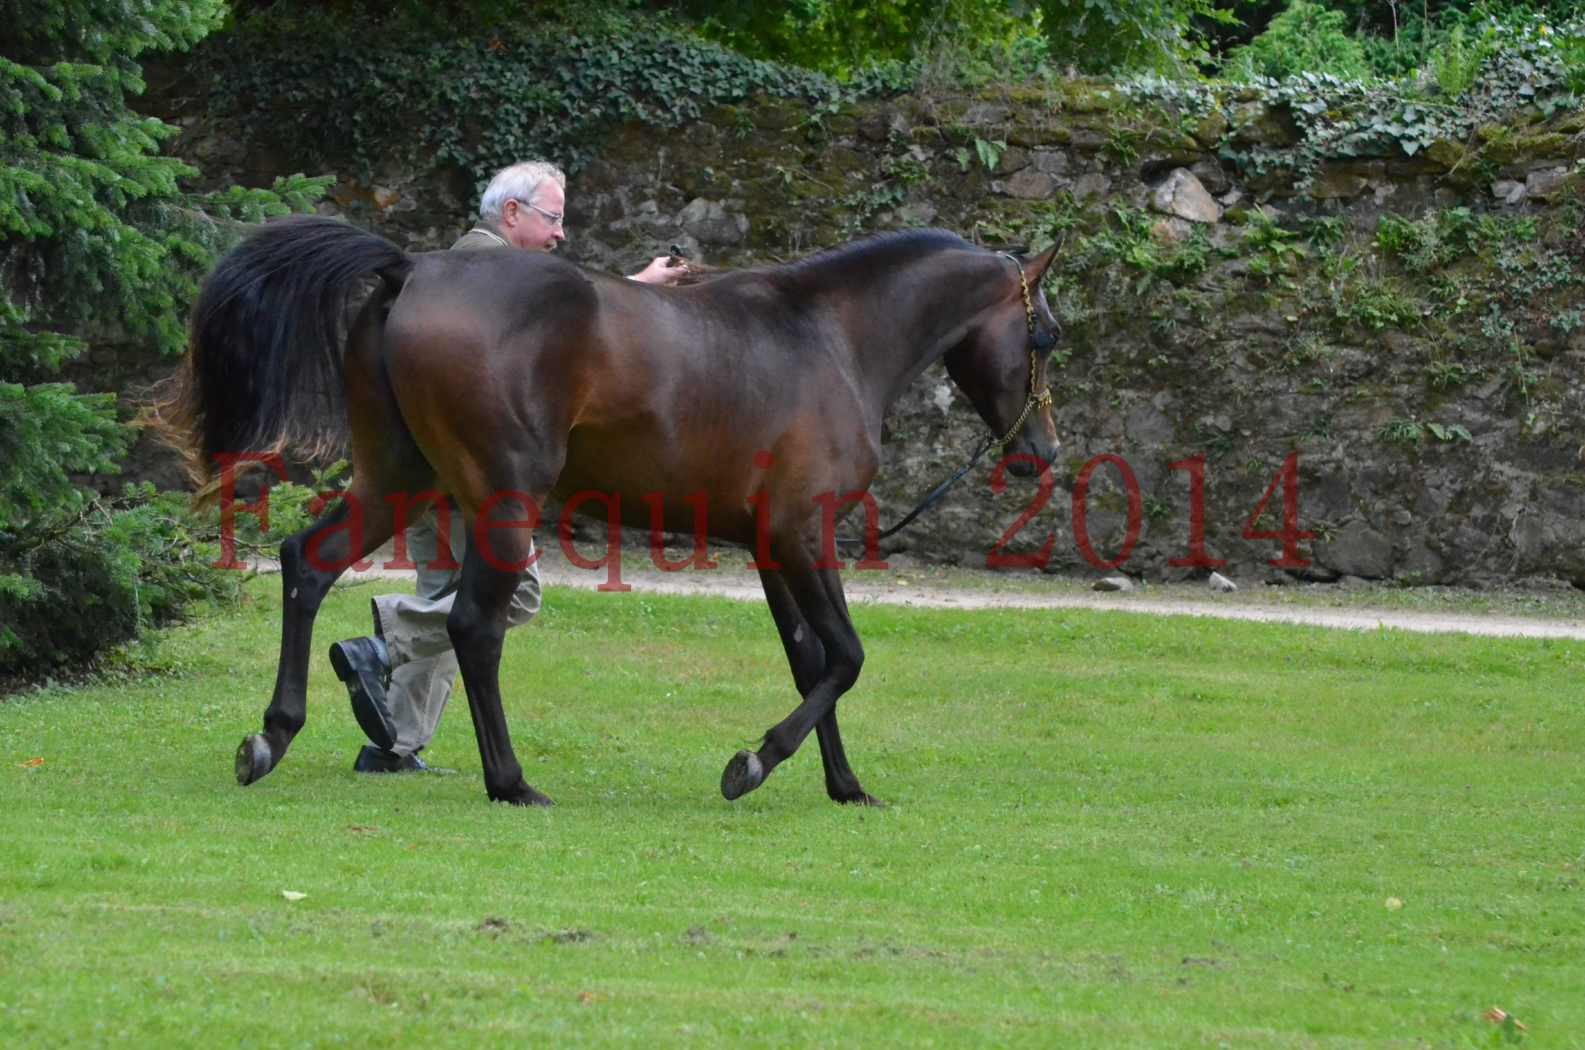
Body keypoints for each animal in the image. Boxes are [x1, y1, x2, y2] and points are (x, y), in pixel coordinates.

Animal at [160, 217, 1058, 808]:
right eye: (1044, 334)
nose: (1040, 451)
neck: (828, 337)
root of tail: (411, 269)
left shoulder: (770, 547)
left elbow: (811, 662)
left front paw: (844, 784)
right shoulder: (802, 533)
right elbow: (845, 655)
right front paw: (752, 762)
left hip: (397, 481)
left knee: (307, 566)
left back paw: (272, 736)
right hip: (503, 500)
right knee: (472, 628)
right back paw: (511, 781)